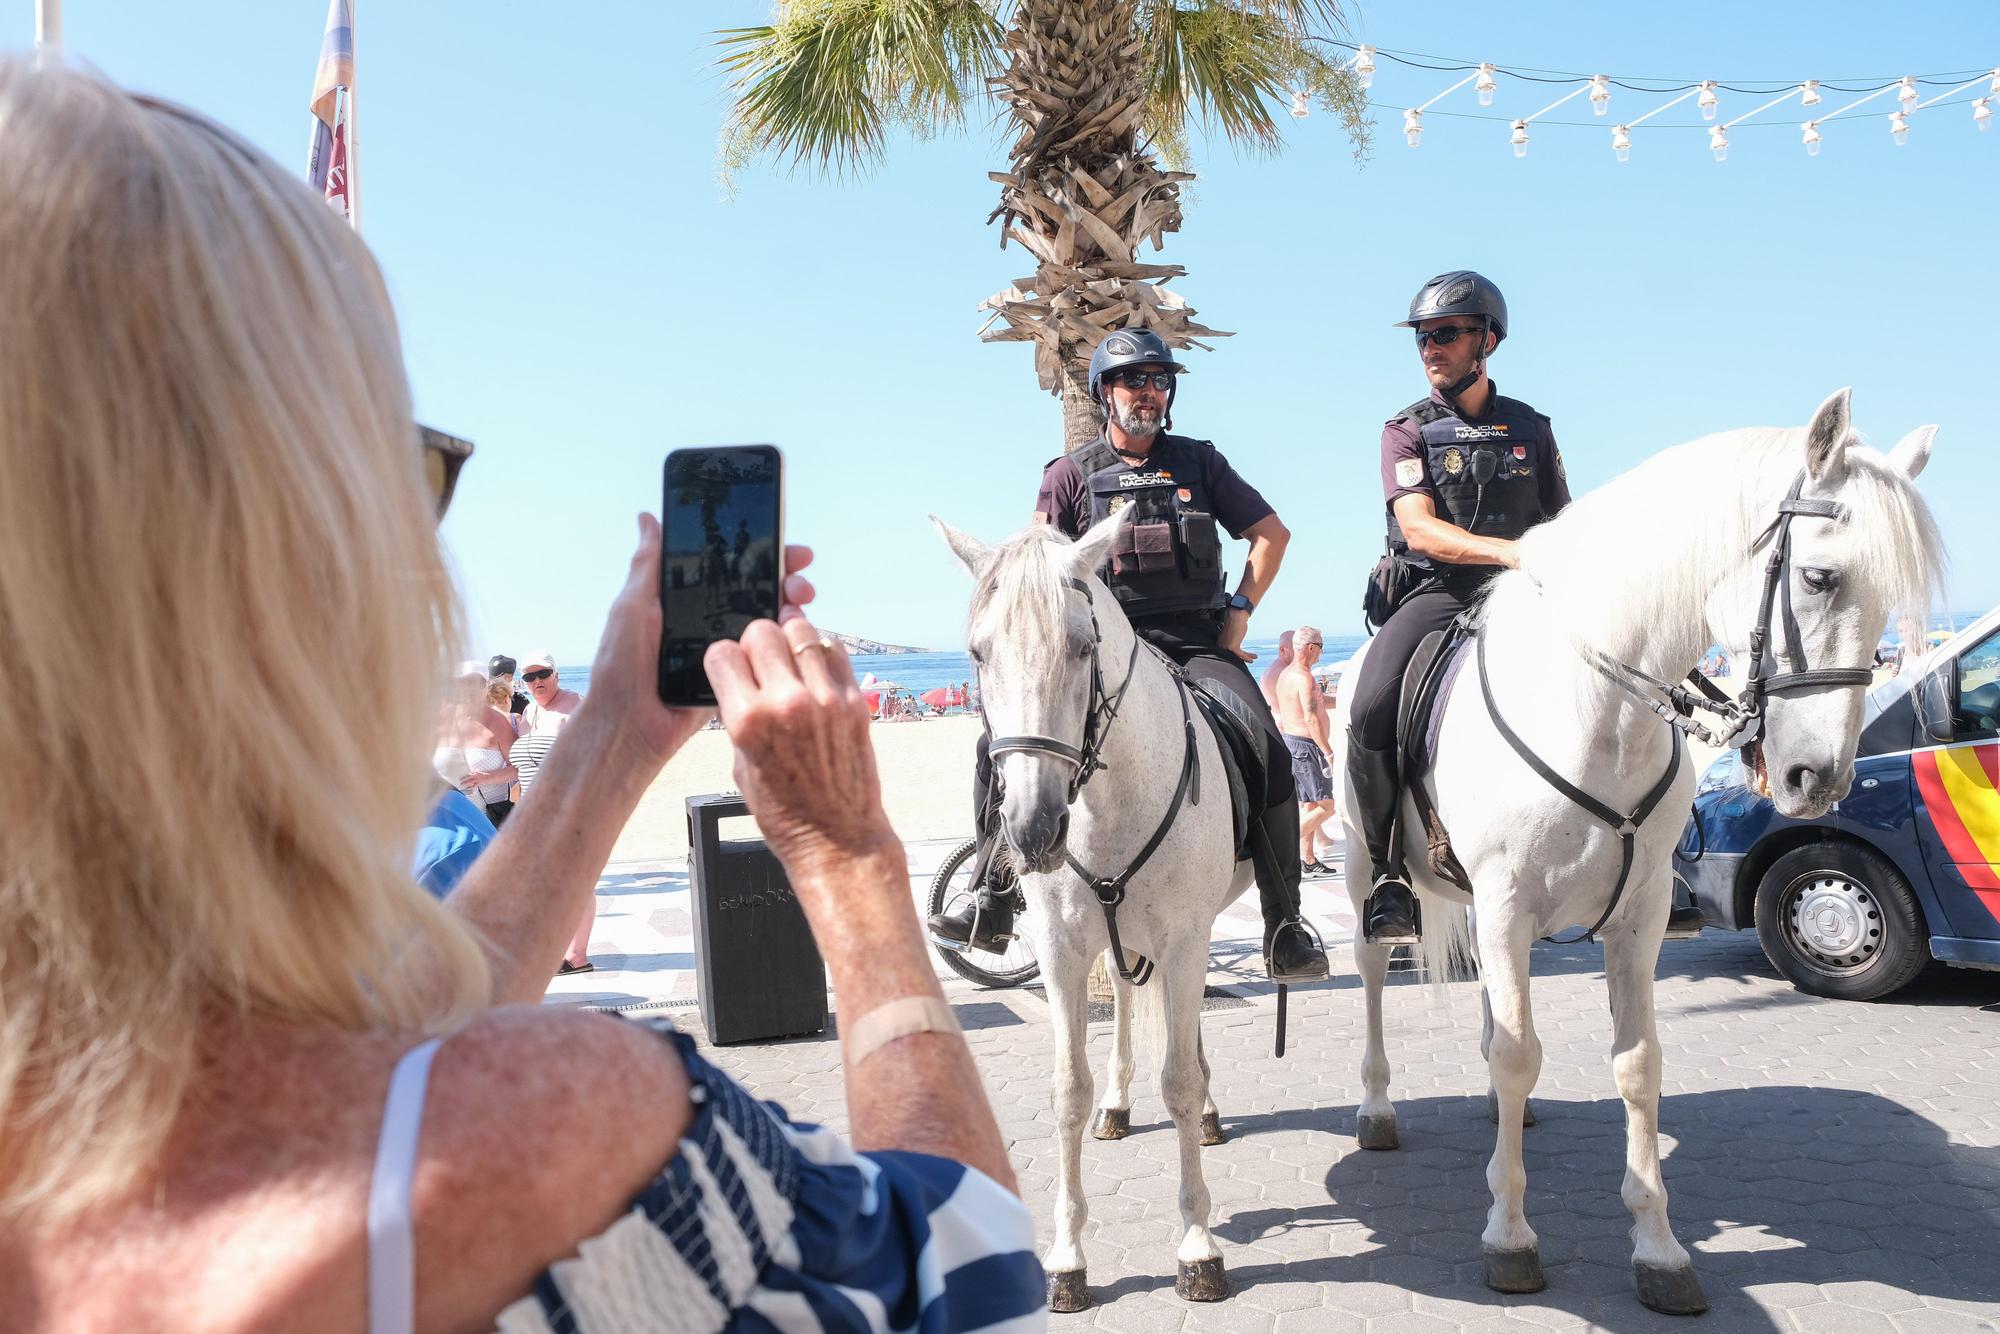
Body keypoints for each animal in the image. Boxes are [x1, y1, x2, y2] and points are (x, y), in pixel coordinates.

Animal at [936, 516, 1248, 1312]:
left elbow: (1180, 1079)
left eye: (1081, 646)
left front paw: (1197, 1246)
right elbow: (1067, 1090)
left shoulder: (1186, 940)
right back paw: (1119, 1103)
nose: (1032, 828)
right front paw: (1067, 1259)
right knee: (1133, 1013)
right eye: (977, 651)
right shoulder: (1059, 950)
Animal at [1336, 392, 1944, 1320]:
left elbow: (1636, 1065)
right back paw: (1376, 1108)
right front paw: (1509, 1235)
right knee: (1374, 973)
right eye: (1819, 578)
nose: (1818, 779)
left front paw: (1659, 1248)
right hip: (1367, 871)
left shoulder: (1640, 914)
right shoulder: (1509, 905)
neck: (1597, 706)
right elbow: (1520, 1055)